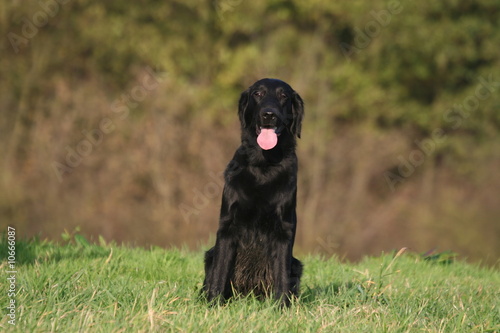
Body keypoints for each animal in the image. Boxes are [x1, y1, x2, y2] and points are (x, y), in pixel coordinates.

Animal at [203, 78, 304, 306]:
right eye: (258, 93)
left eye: (283, 96)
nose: (269, 114)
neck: (263, 166)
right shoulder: (227, 227)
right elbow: (219, 272)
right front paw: (213, 305)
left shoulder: (284, 230)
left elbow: (281, 275)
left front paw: (281, 307)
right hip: (209, 255)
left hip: (296, 265)